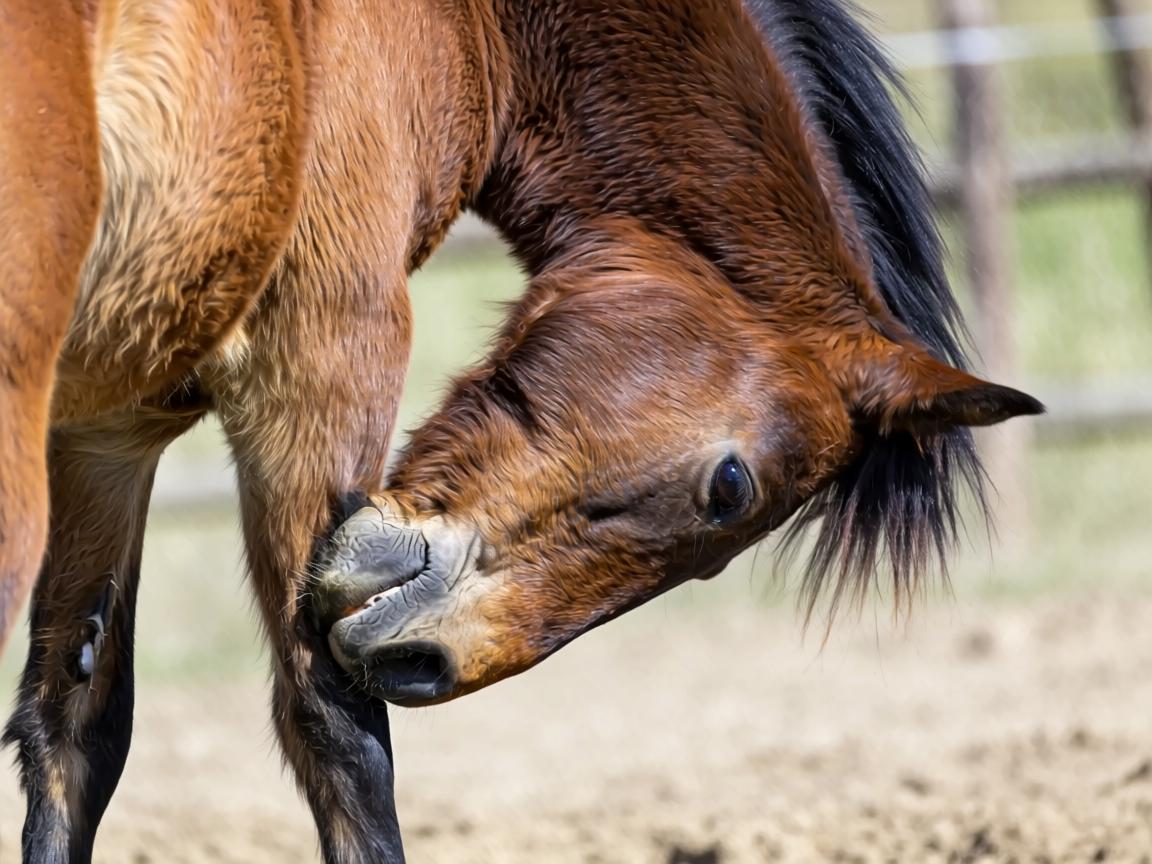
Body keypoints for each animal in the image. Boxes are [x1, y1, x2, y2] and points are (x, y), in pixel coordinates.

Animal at [0, 0, 1039, 861]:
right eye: (730, 488)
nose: (423, 663)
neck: (465, 24)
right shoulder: (320, 364)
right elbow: (342, 742)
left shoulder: (108, 432)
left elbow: (74, 726)